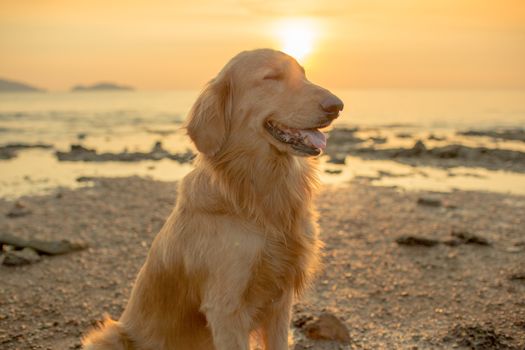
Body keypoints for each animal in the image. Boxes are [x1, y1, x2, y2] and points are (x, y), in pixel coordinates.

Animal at [82, 47, 344, 348]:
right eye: (271, 77)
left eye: (304, 75)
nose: (337, 105)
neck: (256, 195)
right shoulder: (226, 308)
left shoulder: (281, 301)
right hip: (109, 336)